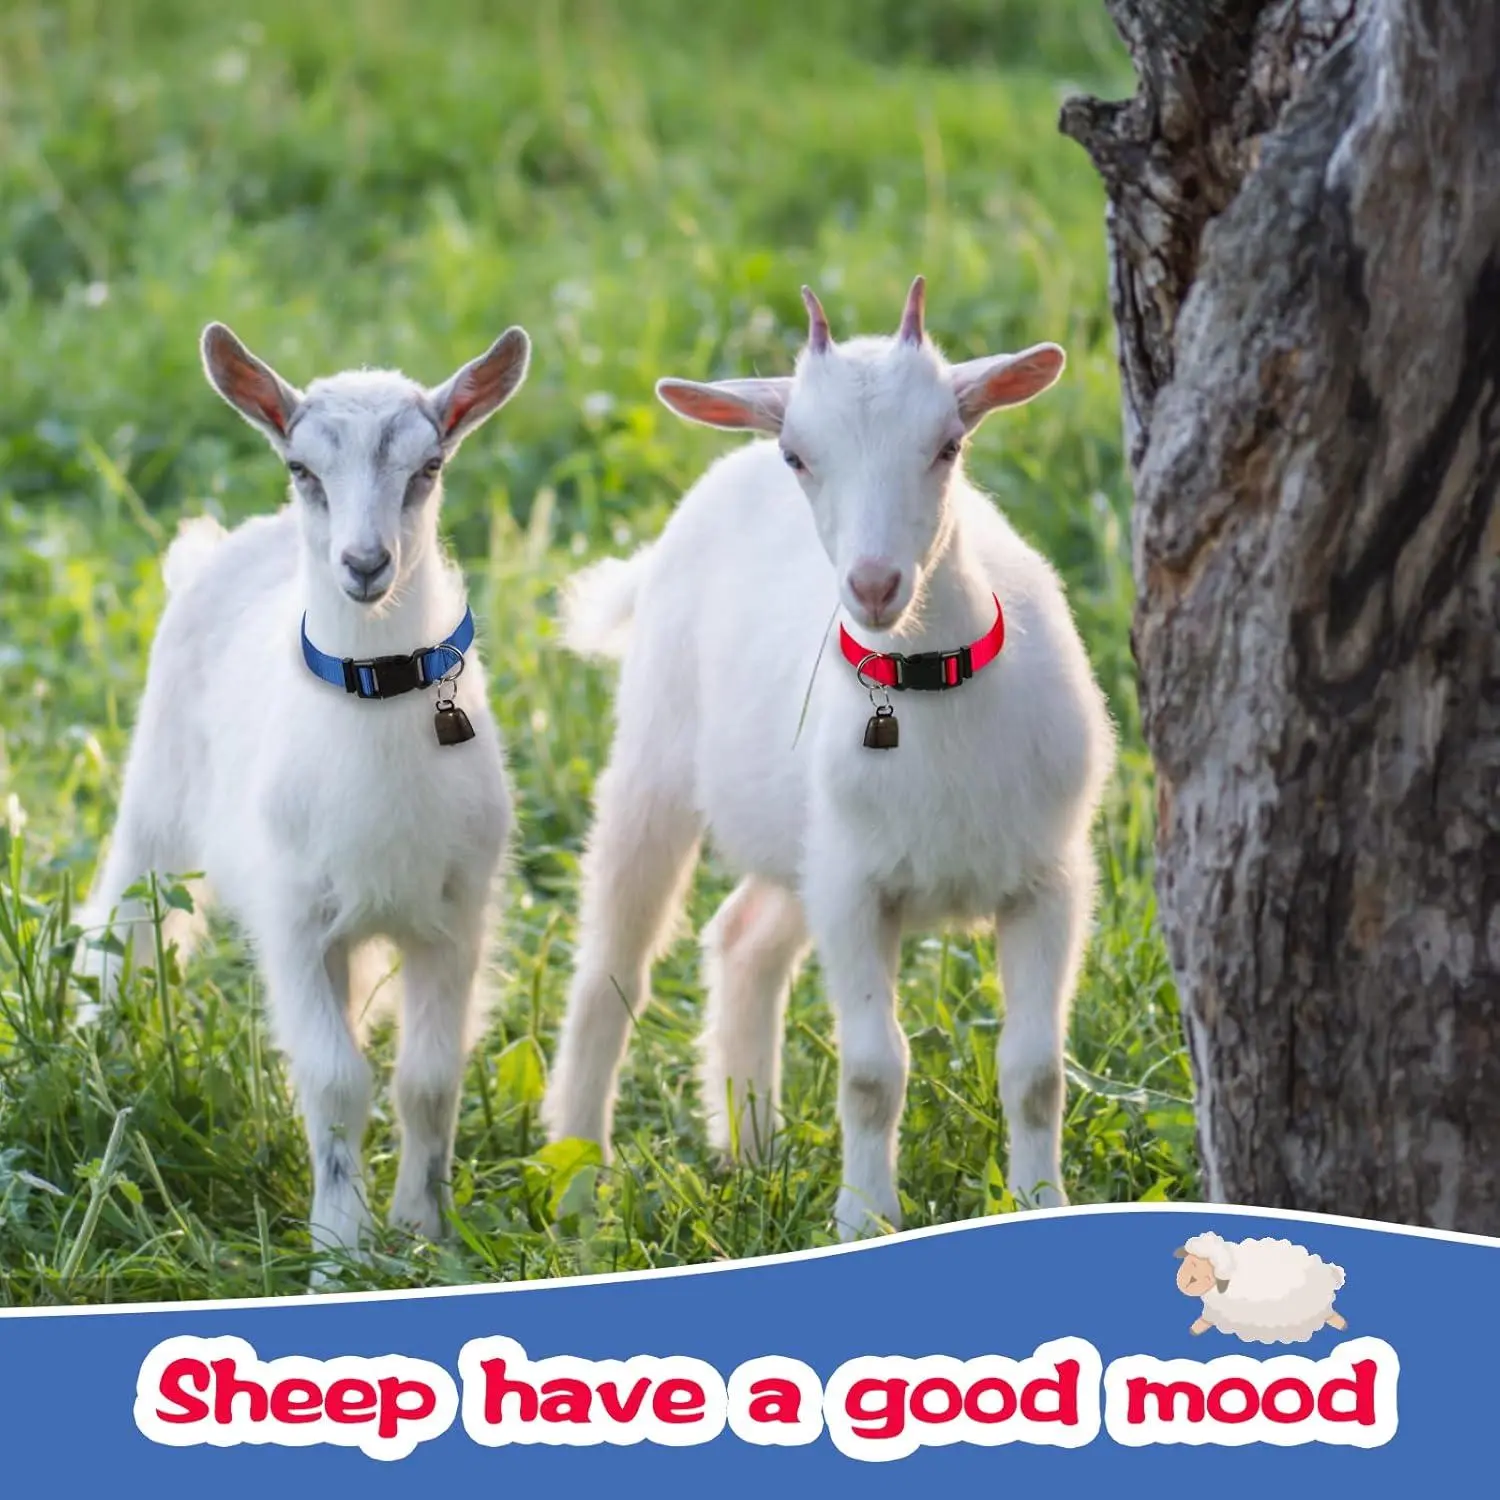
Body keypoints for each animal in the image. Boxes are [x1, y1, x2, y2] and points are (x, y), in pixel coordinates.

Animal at [74, 322, 530, 1270]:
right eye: (302, 469)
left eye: (429, 466)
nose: (364, 564)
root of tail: (220, 548)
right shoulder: (295, 920)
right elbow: (335, 1078)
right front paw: (339, 1249)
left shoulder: (456, 916)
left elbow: (427, 1079)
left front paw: (424, 1232)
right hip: (156, 798)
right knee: (118, 922)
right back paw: (94, 1052)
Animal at [542, 278, 1115, 1238]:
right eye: (799, 456)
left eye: (948, 445)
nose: (875, 585)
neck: (926, 688)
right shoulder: (856, 890)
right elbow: (874, 1070)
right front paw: (864, 1218)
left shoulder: (1049, 880)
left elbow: (1037, 1070)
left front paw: (1041, 1201)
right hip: (654, 766)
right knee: (609, 975)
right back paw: (581, 1183)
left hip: (802, 836)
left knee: (743, 939)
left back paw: (753, 1152)